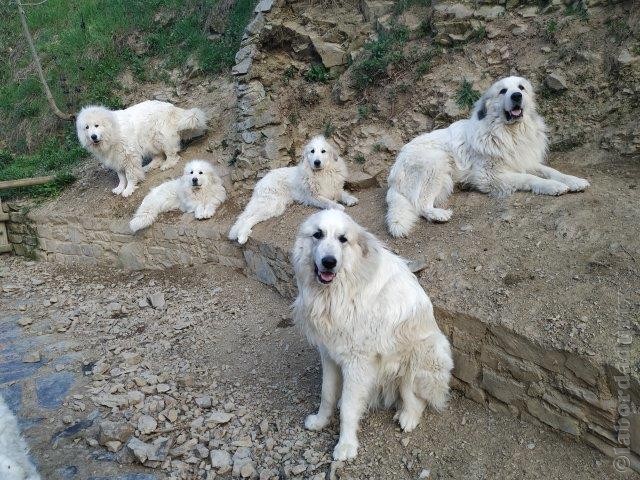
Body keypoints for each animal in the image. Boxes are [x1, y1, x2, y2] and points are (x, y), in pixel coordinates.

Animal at [76, 100, 208, 198]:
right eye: (87, 127)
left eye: (96, 125)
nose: (93, 137)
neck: (112, 132)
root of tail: (170, 106)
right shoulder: (117, 158)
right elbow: (121, 177)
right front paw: (120, 188)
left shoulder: (129, 156)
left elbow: (130, 175)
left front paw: (128, 190)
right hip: (149, 141)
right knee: (158, 157)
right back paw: (149, 166)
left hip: (161, 136)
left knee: (172, 154)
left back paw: (167, 164)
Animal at [229, 136, 360, 244]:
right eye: (312, 151)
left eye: (323, 151)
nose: (317, 162)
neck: (322, 174)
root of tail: (261, 181)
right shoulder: (313, 197)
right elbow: (328, 202)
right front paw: (337, 206)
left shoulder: (334, 188)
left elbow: (343, 194)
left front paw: (351, 199)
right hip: (270, 204)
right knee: (248, 218)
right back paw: (242, 236)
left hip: (276, 208)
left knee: (251, 218)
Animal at [292, 210, 452, 462]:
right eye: (318, 235)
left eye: (343, 239)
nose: (329, 262)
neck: (339, 291)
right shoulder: (328, 354)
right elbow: (326, 394)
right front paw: (320, 421)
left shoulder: (358, 362)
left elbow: (349, 409)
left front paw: (346, 446)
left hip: (420, 356)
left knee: (418, 399)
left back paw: (408, 417)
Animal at [384, 75, 592, 238]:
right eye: (503, 91)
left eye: (521, 88)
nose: (516, 96)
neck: (509, 134)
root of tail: (394, 172)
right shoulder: (491, 176)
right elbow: (530, 178)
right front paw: (554, 186)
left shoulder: (524, 160)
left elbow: (552, 171)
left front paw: (574, 180)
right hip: (436, 163)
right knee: (420, 203)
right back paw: (438, 214)